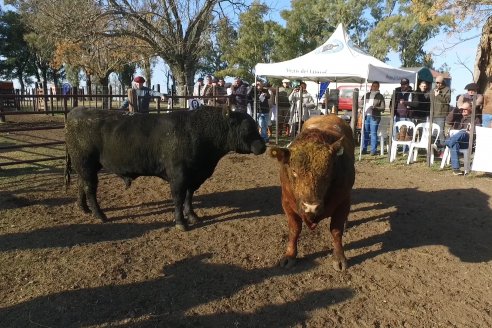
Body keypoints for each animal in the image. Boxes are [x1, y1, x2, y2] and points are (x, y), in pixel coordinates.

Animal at [66, 106, 268, 229]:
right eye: (247, 128)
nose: (263, 147)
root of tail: (75, 112)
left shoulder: (194, 177)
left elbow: (189, 197)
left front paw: (192, 216)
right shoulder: (179, 176)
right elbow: (178, 198)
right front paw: (181, 223)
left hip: (85, 166)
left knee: (81, 185)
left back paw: (83, 208)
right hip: (85, 163)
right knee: (90, 188)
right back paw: (99, 215)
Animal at [270, 114, 356, 270]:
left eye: (328, 172)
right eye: (294, 171)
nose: (311, 207)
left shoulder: (343, 201)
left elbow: (336, 231)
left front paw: (339, 258)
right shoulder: (286, 202)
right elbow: (294, 229)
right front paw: (290, 255)